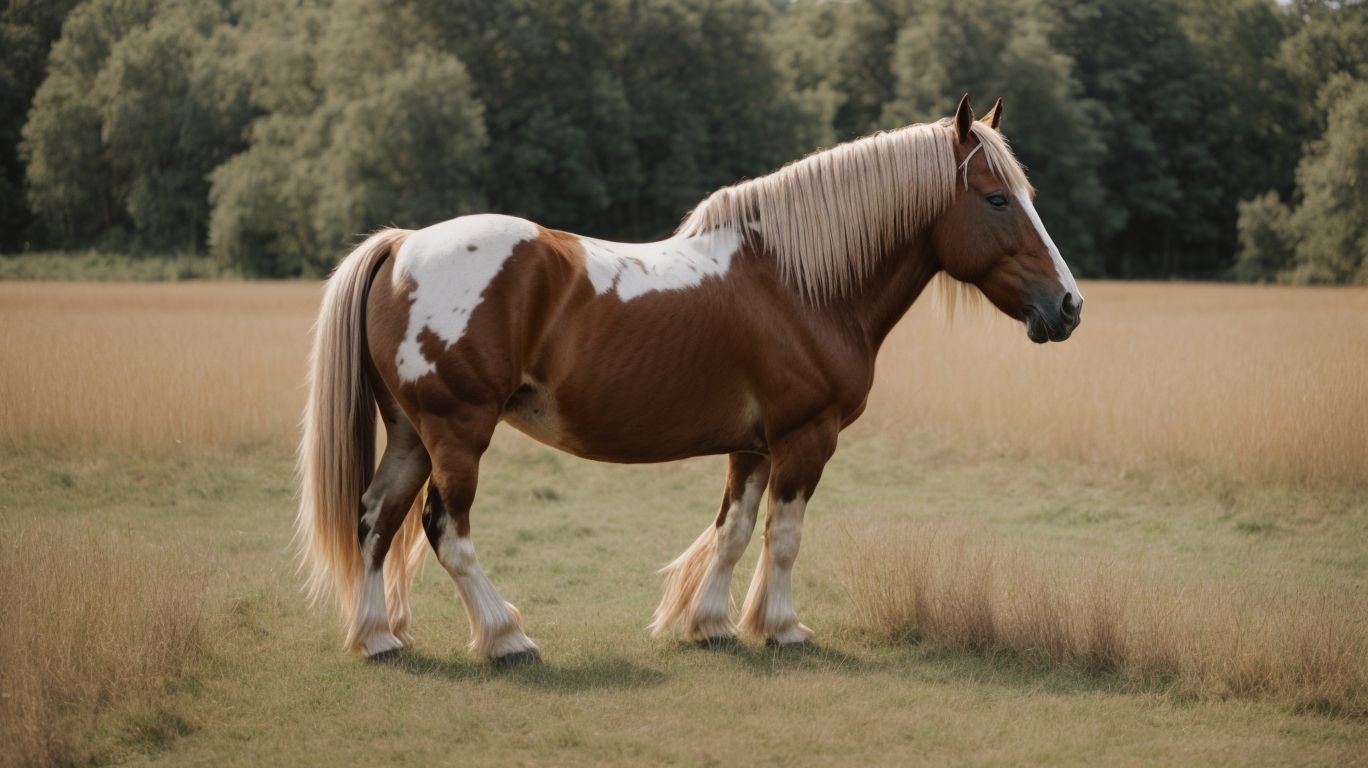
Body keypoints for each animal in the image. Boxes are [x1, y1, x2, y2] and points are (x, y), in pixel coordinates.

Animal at [296, 94, 1083, 662]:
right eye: (997, 199)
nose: (1068, 306)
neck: (796, 284)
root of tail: (402, 246)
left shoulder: (754, 445)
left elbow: (733, 531)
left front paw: (711, 624)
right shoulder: (805, 438)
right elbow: (783, 536)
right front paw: (783, 628)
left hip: (411, 434)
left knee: (375, 519)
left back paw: (378, 638)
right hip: (457, 431)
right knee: (445, 530)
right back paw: (506, 637)